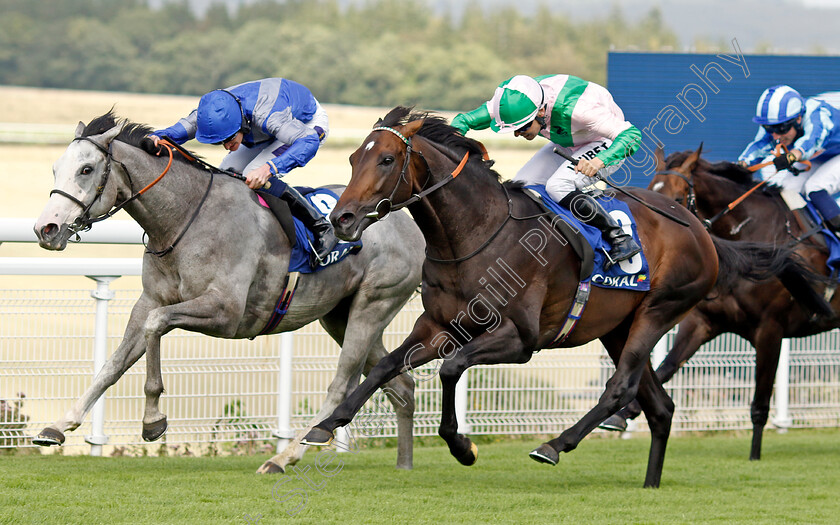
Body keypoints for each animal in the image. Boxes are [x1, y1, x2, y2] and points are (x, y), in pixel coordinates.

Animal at [31, 112, 426, 472]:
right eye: (54, 169)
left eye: (86, 170)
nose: (45, 228)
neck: (184, 218)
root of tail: (408, 223)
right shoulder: (150, 300)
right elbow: (114, 363)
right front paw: (58, 426)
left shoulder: (226, 312)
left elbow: (156, 325)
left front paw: (153, 420)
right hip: (340, 316)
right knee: (401, 385)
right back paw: (404, 464)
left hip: (372, 305)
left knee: (341, 384)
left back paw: (283, 458)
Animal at [298, 107, 812, 488]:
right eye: (352, 160)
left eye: (386, 160)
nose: (341, 219)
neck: (477, 234)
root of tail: (703, 232)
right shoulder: (440, 325)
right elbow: (386, 365)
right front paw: (324, 425)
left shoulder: (520, 339)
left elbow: (451, 368)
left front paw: (463, 447)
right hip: (616, 328)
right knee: (660, 406)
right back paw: (649, 482)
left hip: (659, 310)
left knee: (620, 387)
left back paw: (554, 445)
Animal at [600, 145, 836, 460]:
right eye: (651, 190)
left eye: (677, 199)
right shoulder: (703, 323)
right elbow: (666, 367)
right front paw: (623, 414)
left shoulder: (770, 330)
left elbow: (760, 404)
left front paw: (754, 456)